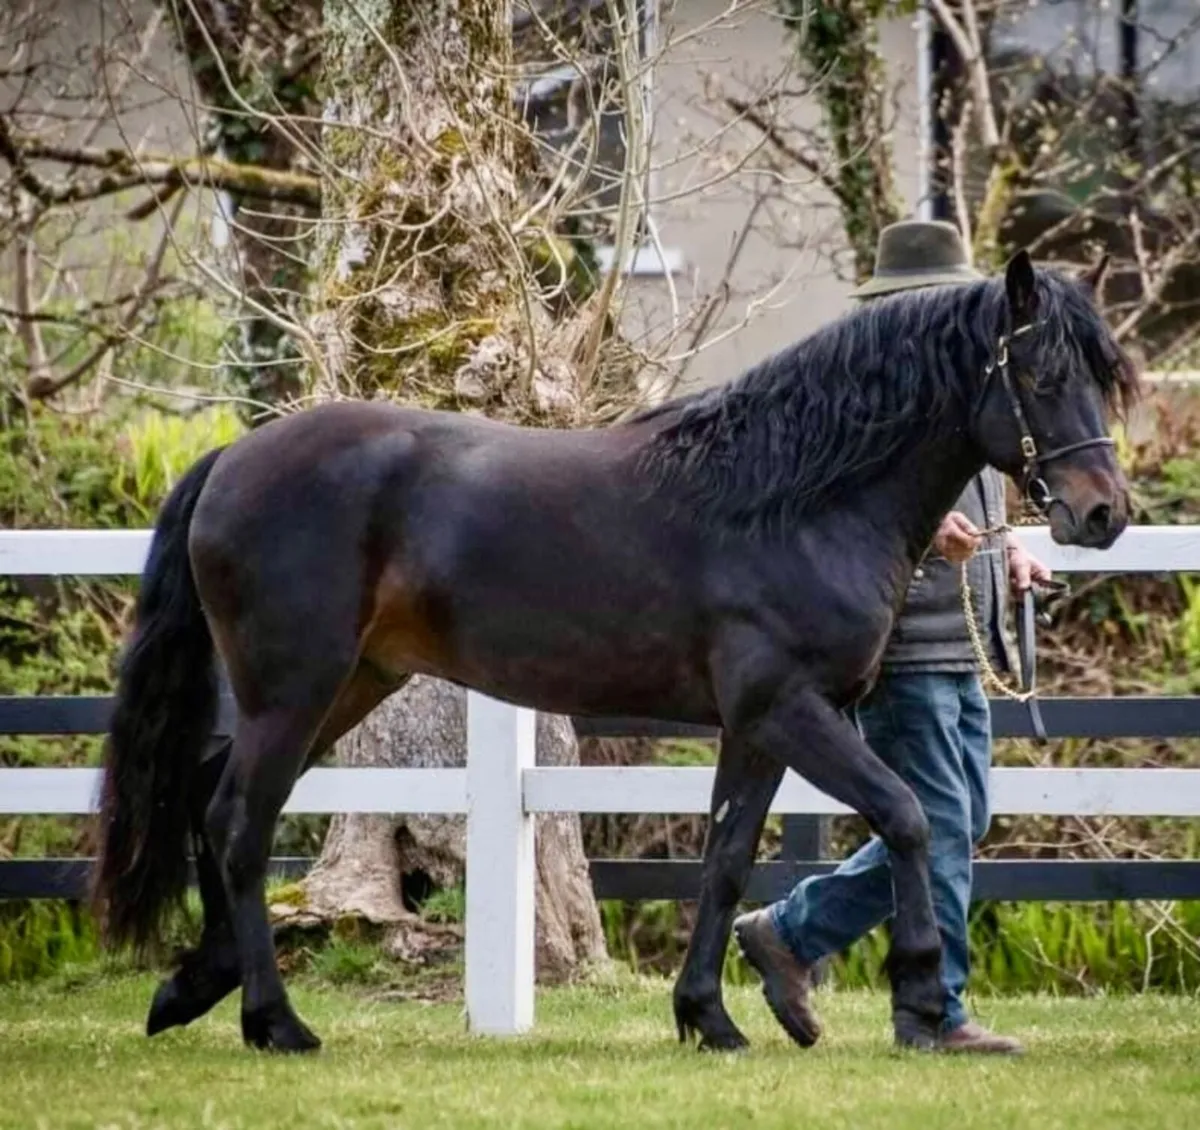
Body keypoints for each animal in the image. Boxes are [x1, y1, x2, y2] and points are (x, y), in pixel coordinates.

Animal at [90, 249, 1138, 1054]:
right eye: (1041, 376)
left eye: (1103, 377)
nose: (1104, 514)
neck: (794, 499)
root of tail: (234, 457)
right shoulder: (791, 711)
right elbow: (910, 817)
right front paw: (919, 1006)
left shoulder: (756, 729)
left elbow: (725, 859)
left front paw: (710, 1017)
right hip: (296, 687)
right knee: (239, 820)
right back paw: (275, 1022)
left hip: (347, 684)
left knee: (211, 799)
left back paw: (192, 987)